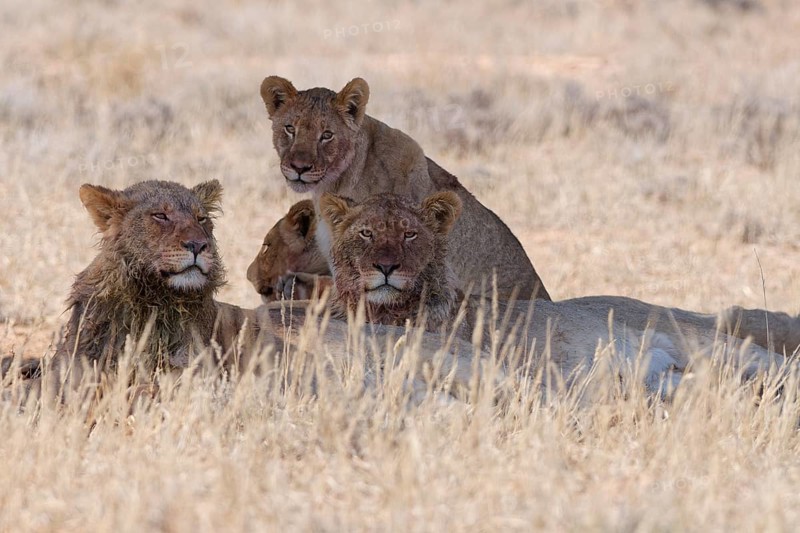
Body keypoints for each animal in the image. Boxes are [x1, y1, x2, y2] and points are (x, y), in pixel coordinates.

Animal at [319, 191, 792, 394]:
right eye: (365, 233)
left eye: (410, 234)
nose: (385, 267)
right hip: (674, 373)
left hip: (701, 341)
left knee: (781, 362)